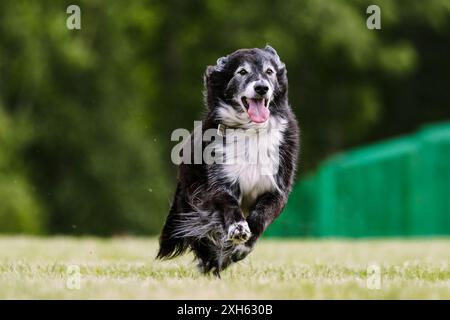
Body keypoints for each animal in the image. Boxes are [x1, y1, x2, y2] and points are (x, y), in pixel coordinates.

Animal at [158, 46, 298, 276]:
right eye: (242, 72)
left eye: (269, 71)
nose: (261, 88)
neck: (251, 130)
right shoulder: (217, 185)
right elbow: (229, 204)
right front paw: (238, 229)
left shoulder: (277, 189)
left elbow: (260, 216)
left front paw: (242, 247)